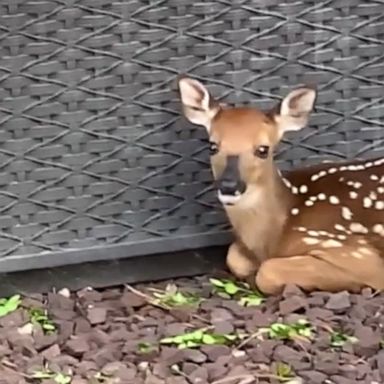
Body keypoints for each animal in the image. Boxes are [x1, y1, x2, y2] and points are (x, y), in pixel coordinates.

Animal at [176, 76, 384, 296]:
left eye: (263, 149)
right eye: (213, 146)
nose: (229, 186)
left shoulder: (350, 250)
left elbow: (267, 271)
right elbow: (234, 256)